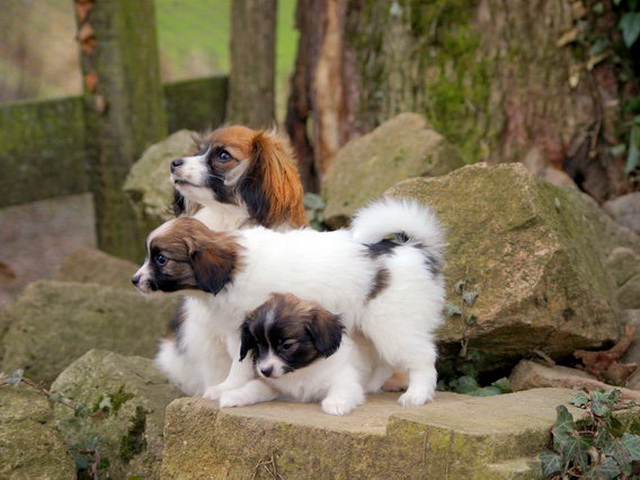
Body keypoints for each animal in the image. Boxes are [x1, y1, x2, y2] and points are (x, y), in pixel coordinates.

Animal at [219, 292, 368, 416]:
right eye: (258, 345)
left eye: (287, 346)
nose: (265, 371)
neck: (300, 372)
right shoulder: (273, 385)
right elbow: (253, 387)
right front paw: (234, 395)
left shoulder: (344, 378)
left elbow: (343, 388)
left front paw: (336, 403)